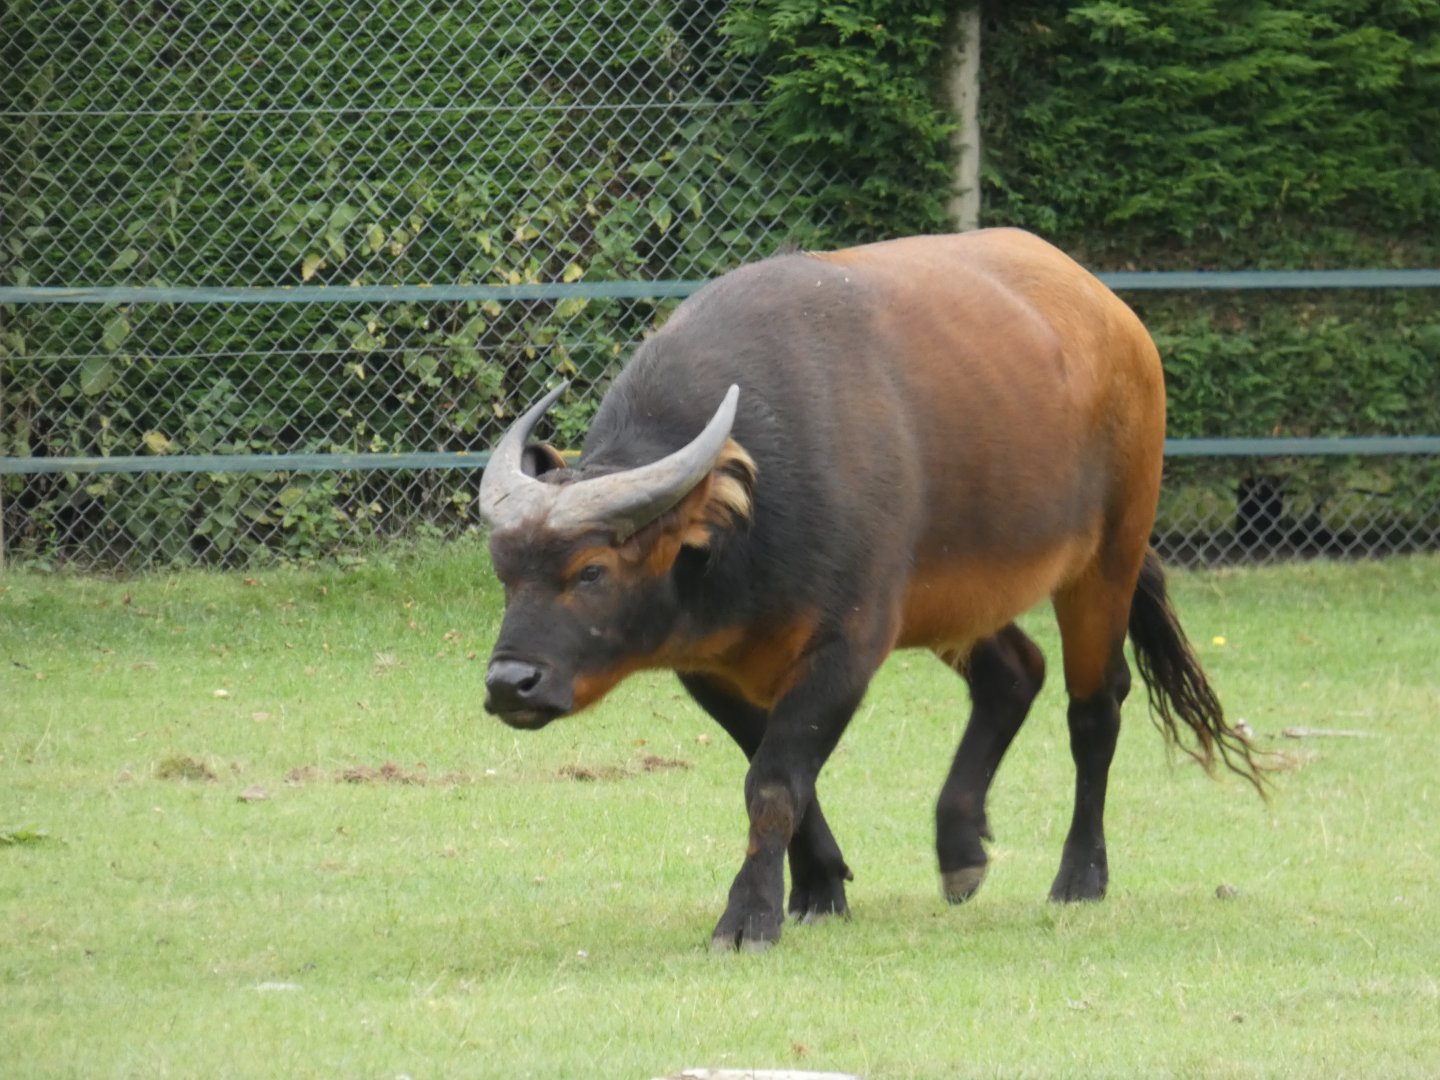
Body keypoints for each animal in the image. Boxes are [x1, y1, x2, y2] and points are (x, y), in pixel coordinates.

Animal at [478, 228, 1262, 951]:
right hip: (951, 595)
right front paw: (819, 885)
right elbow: (778, 769)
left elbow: (773, 781)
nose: (509, 683)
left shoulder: (849, 644)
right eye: (504, 571)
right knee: (1015, 672)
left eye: (591, 571)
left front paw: (749, 915)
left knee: (1094, 708)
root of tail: (1117, 320)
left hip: (1107, 557)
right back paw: (959, 846)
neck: (750, 521)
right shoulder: (707, 665)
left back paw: (1080, 877)